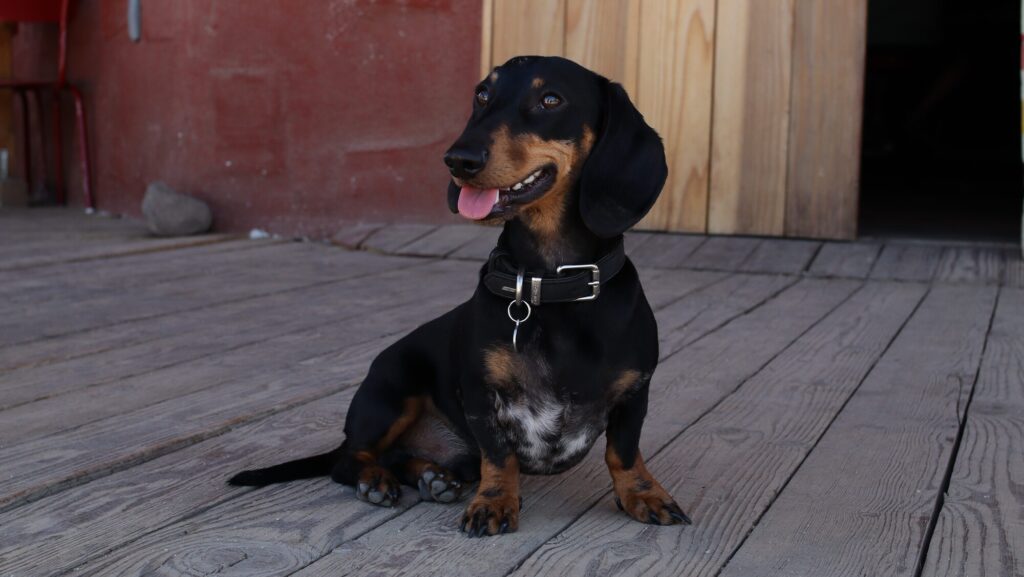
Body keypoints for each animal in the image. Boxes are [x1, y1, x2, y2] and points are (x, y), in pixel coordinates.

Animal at [231, 55, 692, 537]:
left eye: (551, 100)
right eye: (482, 95)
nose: (458, 159)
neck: (552, 286)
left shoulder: (634, 393)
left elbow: (623, 451)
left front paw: (644, 494)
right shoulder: (480, 394)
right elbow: (500, 456)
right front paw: (494, 502)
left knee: (403, 459)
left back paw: (434, 476)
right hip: (389, 388)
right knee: (351, 458)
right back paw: (376, 479)